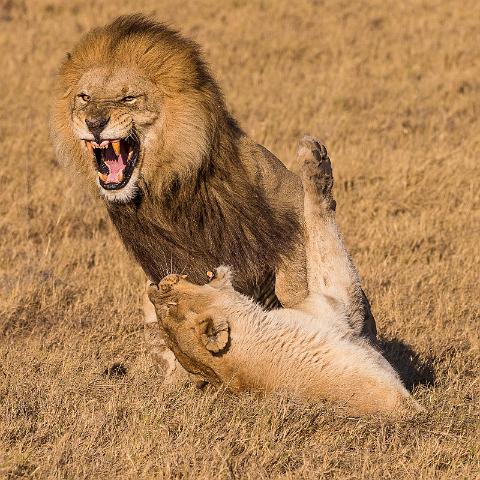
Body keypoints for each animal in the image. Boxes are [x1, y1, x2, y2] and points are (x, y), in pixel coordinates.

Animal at [50, 13, 376, 376]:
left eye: (128, 98)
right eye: (84, 97)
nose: (94, 123)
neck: (167, 191)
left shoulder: (286, 211)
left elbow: (298, 274)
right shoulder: (165, 263)